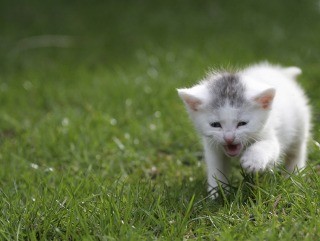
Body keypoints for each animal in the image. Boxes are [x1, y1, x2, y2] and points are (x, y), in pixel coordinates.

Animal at [178, 62, 310, 196]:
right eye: (215, 125)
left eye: (242, 123)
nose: (229, 138)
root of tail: (283, 73)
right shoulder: (212, 146)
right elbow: (216, 167)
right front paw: (217, 193)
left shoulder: (269, 132)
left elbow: (268, 146)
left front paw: (253, 161)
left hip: (300, 125)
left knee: (297, 151)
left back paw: (294, 177)